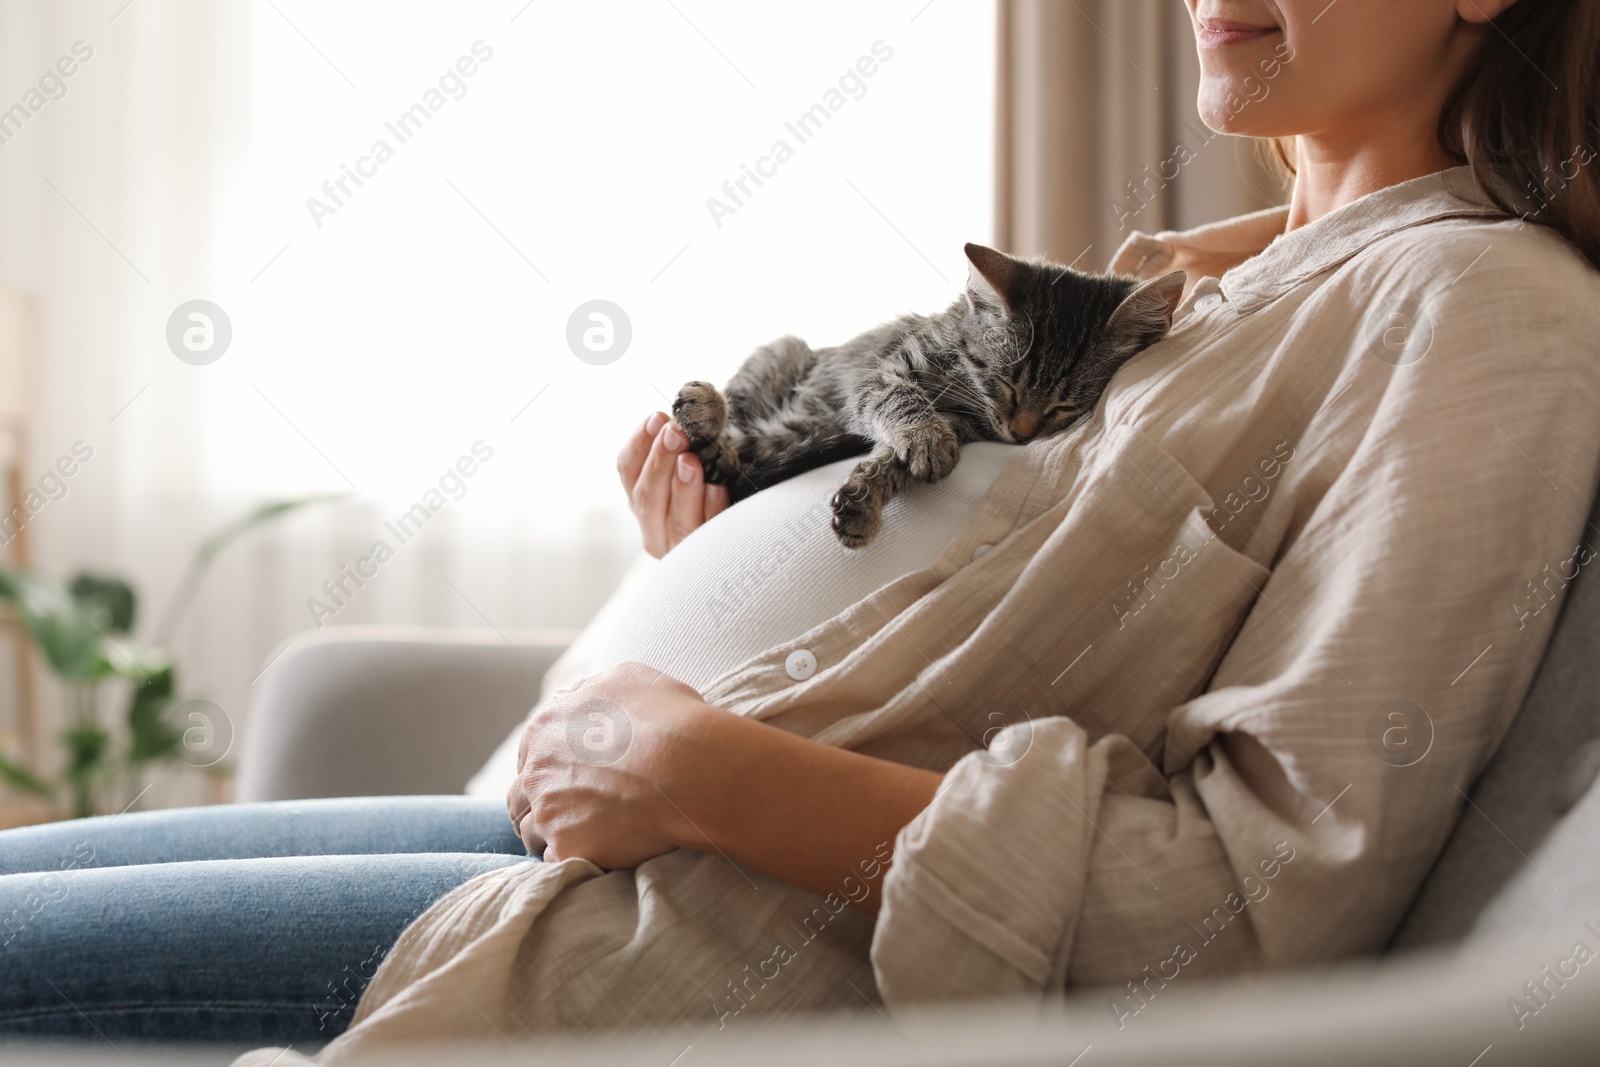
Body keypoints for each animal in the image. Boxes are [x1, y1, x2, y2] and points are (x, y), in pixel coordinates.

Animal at [668, 238, 1184, 547]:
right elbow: (899, 401)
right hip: (786, 353)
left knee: (731, 462)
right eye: (1005, 384)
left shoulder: (966, 424)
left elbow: (891, 458)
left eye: (1066, 406)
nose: (1020, 434)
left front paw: (866, 496)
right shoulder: (881, 375)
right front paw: (922, 435)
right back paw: (705, 408)